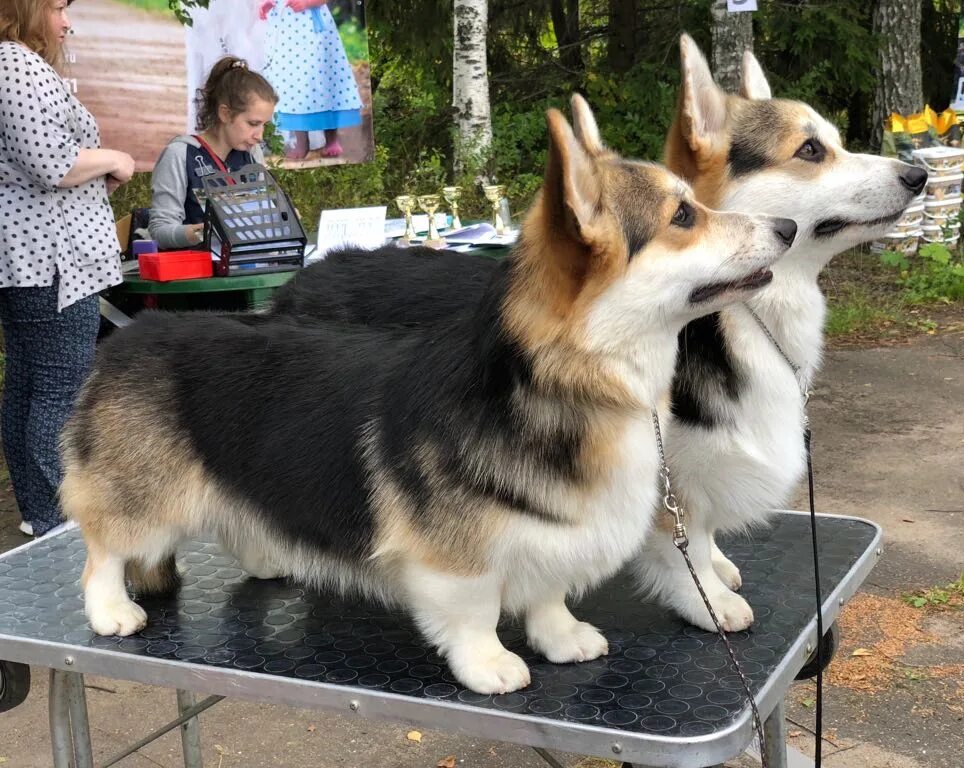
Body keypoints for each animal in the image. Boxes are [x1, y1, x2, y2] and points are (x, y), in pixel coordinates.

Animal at [62, 99, 800, 692]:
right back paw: (112, 611)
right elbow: (474, 612)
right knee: (102, 552)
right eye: (683, 215)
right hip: (140, 499)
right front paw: (491, 665)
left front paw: (563, 638)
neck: (568, 380)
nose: (788, 228)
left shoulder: (558, 535)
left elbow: (548, 594)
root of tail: (131, 335)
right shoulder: (454, 560)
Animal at [266, 48, 928, 632]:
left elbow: (704, 531)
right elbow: (682, 541)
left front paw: (717, 565)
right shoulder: (655, 471)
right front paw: (708, 599)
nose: (919, 174)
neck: (737, 323)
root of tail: (300, 280)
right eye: (811, 151)